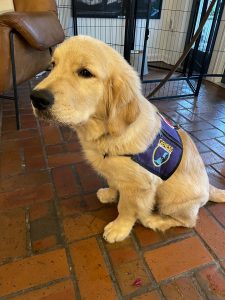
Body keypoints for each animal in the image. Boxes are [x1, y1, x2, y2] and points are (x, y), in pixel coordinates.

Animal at [30, 35, 225, 243]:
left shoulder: (138, 187)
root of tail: (209, 188)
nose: (36, 98)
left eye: (85, 72)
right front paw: (109, 193)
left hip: (174, 202)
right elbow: (113, 182)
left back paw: (156, 220)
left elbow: (126, 208)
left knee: (188, 222)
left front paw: (119, 228)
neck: (106, 133)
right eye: (52, 65)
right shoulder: (115, 172)